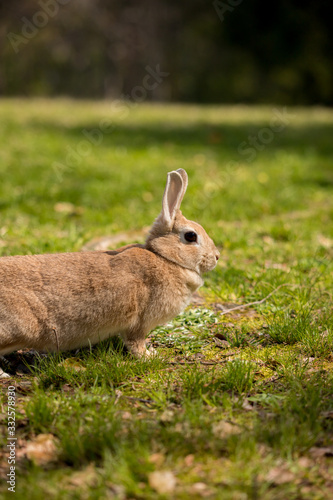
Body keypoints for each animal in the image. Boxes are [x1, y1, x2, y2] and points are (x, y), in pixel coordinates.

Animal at [0, 168, 219, 376]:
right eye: (191, 236)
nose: (216, 257)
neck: (166, 258)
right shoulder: (139, 323)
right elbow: (136, 343)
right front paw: (150, 356)